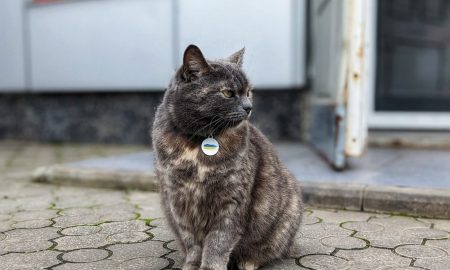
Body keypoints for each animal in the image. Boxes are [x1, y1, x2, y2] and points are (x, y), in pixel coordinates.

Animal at [151, 45, 302, 268]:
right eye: (228, 93)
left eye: (248, 92)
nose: (249, 107)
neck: (198, 144)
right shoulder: (178, 200)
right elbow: (192, 243)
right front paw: (191, 265)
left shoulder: (231, 201)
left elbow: (218, 243)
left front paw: (210, 266)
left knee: (266, 251)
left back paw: (249, 262)